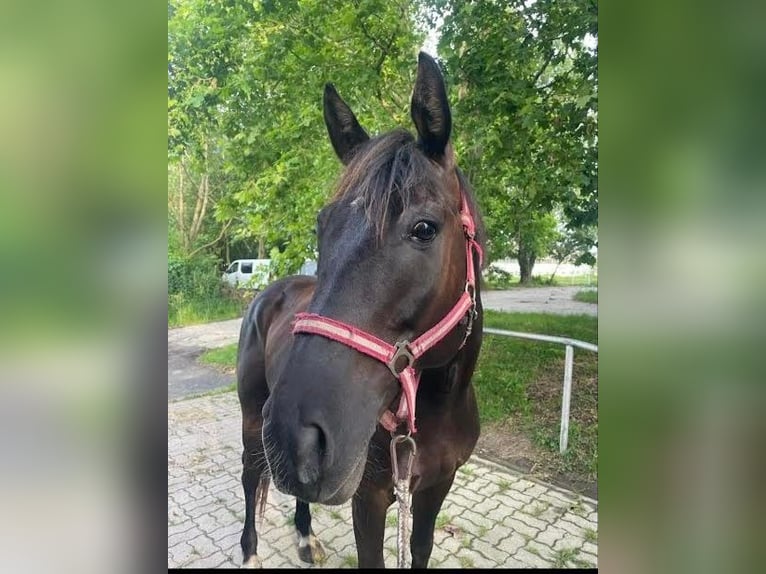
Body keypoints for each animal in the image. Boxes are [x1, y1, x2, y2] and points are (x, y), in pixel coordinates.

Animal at [237, 50, 486, 572]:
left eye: (425, 228)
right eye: (322, 225)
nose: (296, 435)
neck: (436, 406)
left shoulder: (436, 487)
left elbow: (420, 547)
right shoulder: (368, 498)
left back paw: (306, 537)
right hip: (252, 418)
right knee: (251, 478)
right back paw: (250, 554)